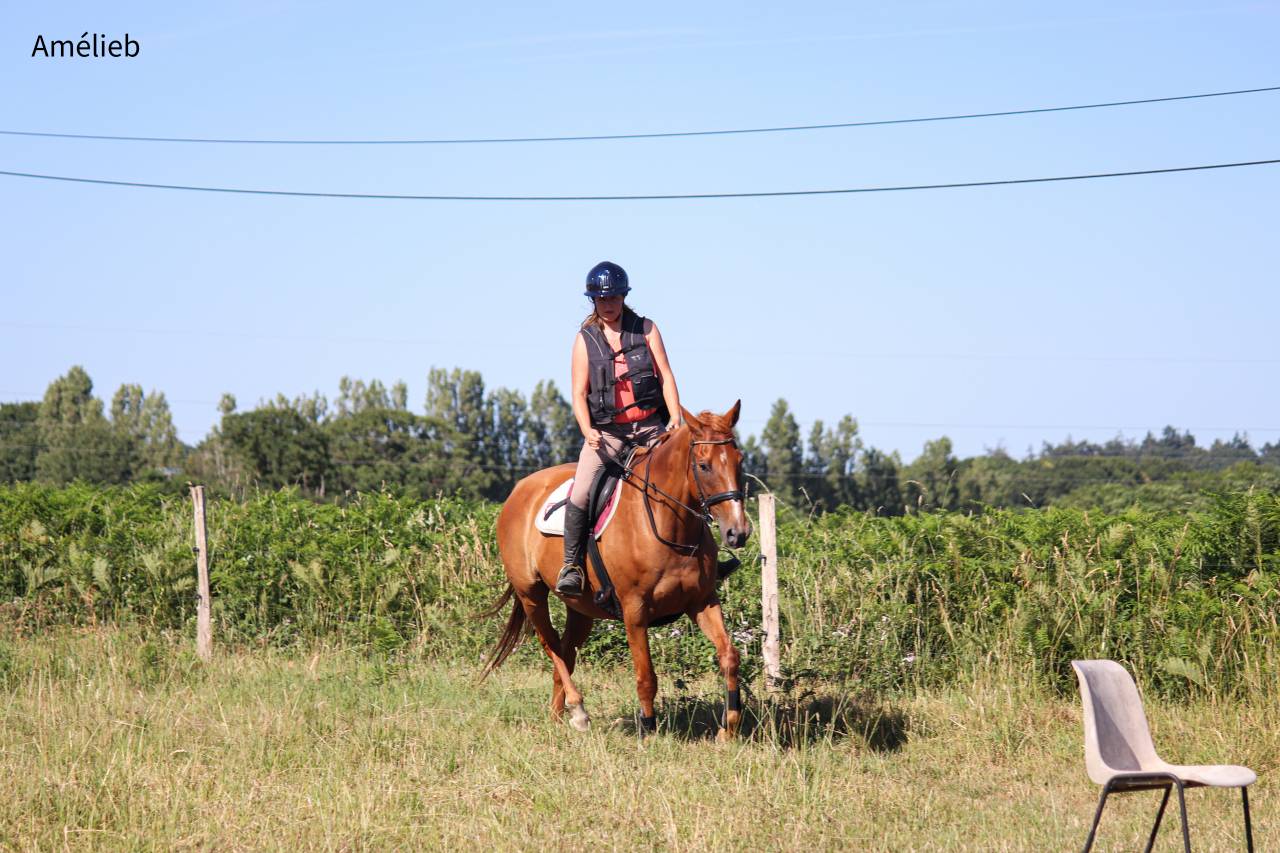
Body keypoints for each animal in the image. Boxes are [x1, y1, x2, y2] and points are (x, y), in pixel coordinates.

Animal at [484, 401, 752, 739]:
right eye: (703, 466)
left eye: (739, 461)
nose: (738, 533)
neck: (668, 524)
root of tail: (520, 488)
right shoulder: (634, 609)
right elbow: (646, 675)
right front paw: (648, 729)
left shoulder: (702, 601)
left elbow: (729, 655)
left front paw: (729, 727)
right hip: (531, 593)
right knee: (552, 646)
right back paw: (578, 710)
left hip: (581, 607)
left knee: (566, 651)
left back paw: (559, 716)